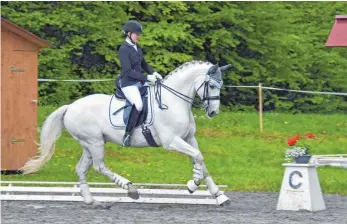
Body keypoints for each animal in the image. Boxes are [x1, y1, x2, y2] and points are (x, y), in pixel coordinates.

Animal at [21, 60, 234, 207]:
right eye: (212, 86)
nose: (213, 112)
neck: (173, 100)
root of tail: (70, 107)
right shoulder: (171, 141)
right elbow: (198, 157)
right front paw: (192, 184)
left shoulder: (189, 138)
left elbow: (201, 160)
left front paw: (219, 195)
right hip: (95, 142)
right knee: (99, 167)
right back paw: (131, 189)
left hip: (88, 144)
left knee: (82, 169)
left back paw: (91, 201)